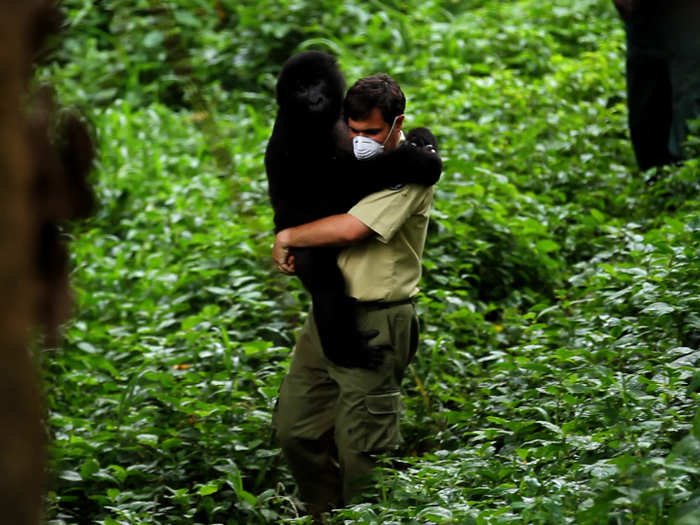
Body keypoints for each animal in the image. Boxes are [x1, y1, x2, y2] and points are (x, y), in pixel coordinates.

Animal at [266, 50, 440, 368]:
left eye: (317, 82)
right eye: (300, 88)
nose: (314, 98)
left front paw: (422, 137)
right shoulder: (295, 136)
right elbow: (326, 195)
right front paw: (417, 161)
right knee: (326, 282)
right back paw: (343, 351)